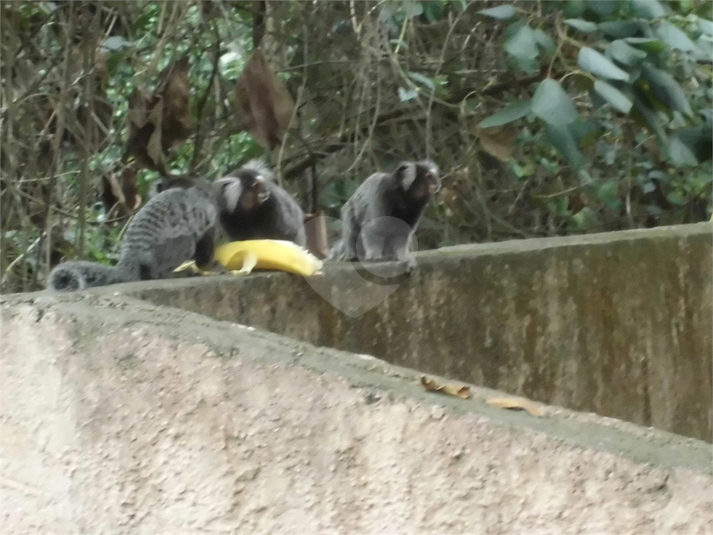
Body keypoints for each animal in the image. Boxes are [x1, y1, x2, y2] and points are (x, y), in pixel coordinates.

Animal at [48, 184, 218, 294]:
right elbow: (204, 246)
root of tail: (131, 255)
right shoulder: (209, 215)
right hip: (160, 254)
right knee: (186, 242)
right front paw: (210, 266)